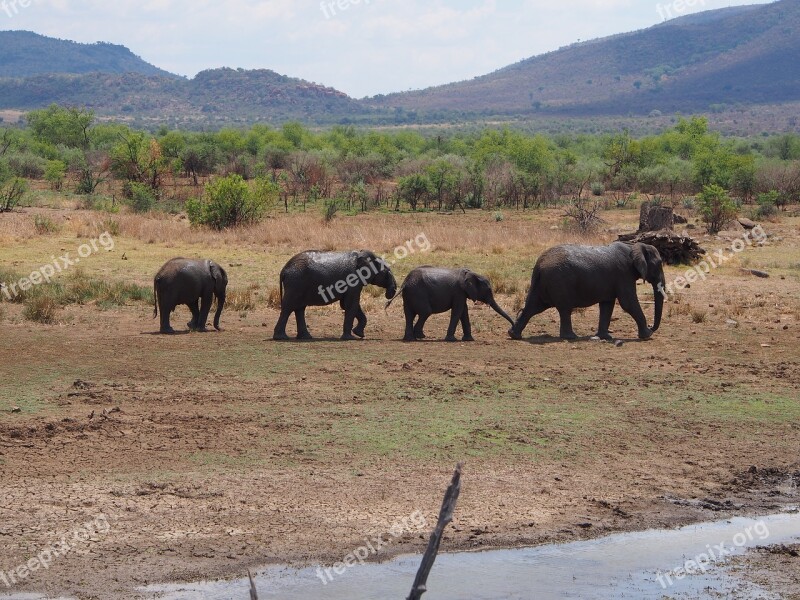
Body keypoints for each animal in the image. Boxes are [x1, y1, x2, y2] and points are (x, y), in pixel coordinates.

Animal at [510, 241, 664, 340]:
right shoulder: (624, 274)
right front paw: (647, 335)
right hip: (559, 282)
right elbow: (628, 303)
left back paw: (514, 335)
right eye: (659, 263)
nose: (651, 326)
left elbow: (607, 304)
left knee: (533, 307)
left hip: (541, 283)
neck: (634, 246)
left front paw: (605, 337)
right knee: (564, 309)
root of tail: (539, 265)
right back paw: (571, 337)